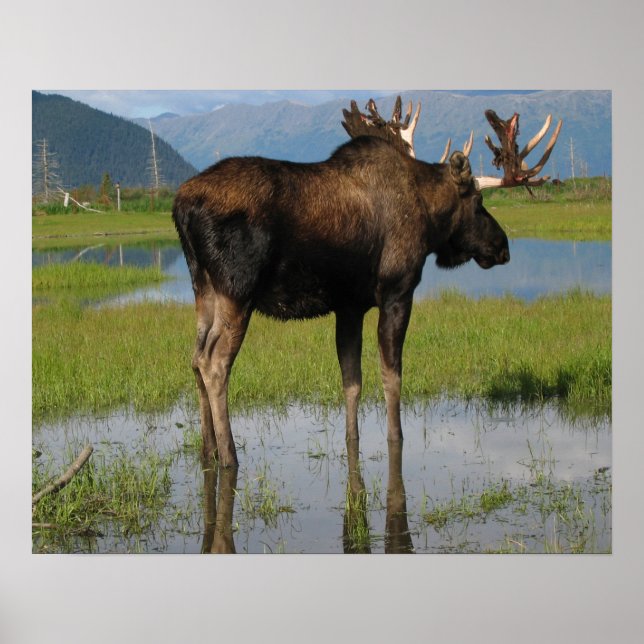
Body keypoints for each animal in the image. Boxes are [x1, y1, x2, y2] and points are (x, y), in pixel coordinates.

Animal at [172, 96, 562, 467]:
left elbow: (352, 381)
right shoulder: (397, 291)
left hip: (203, 289)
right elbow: (392, 376)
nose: (502, 246)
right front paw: (396, 438)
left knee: (195, 357)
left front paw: (352, 442)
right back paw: (228, 454)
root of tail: (181, 206)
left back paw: (207, 449)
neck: (429, 217)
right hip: (238, 291)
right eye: (478, 202)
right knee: (214, 363)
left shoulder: (350, 306)